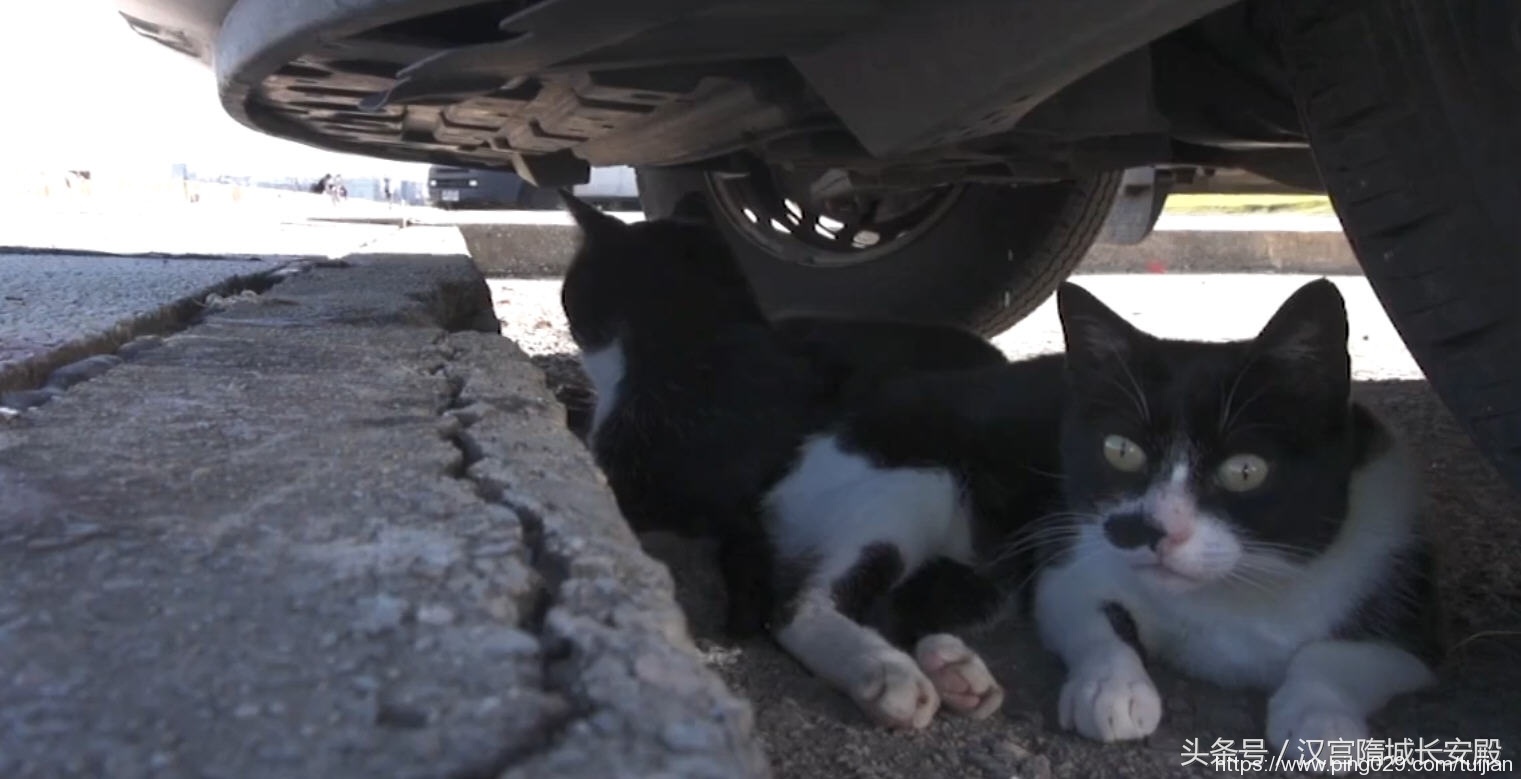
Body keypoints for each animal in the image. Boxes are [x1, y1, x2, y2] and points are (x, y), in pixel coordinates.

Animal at [1028, 278, 1441, 754]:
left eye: (1245, 471)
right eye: (1121, 450)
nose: (1151, 530)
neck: (1233, 593)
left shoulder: (1402, 590)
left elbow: (1337, 655)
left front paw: (1320, 718)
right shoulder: (1070, 560)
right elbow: (1091, 614)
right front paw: (1110, 690)